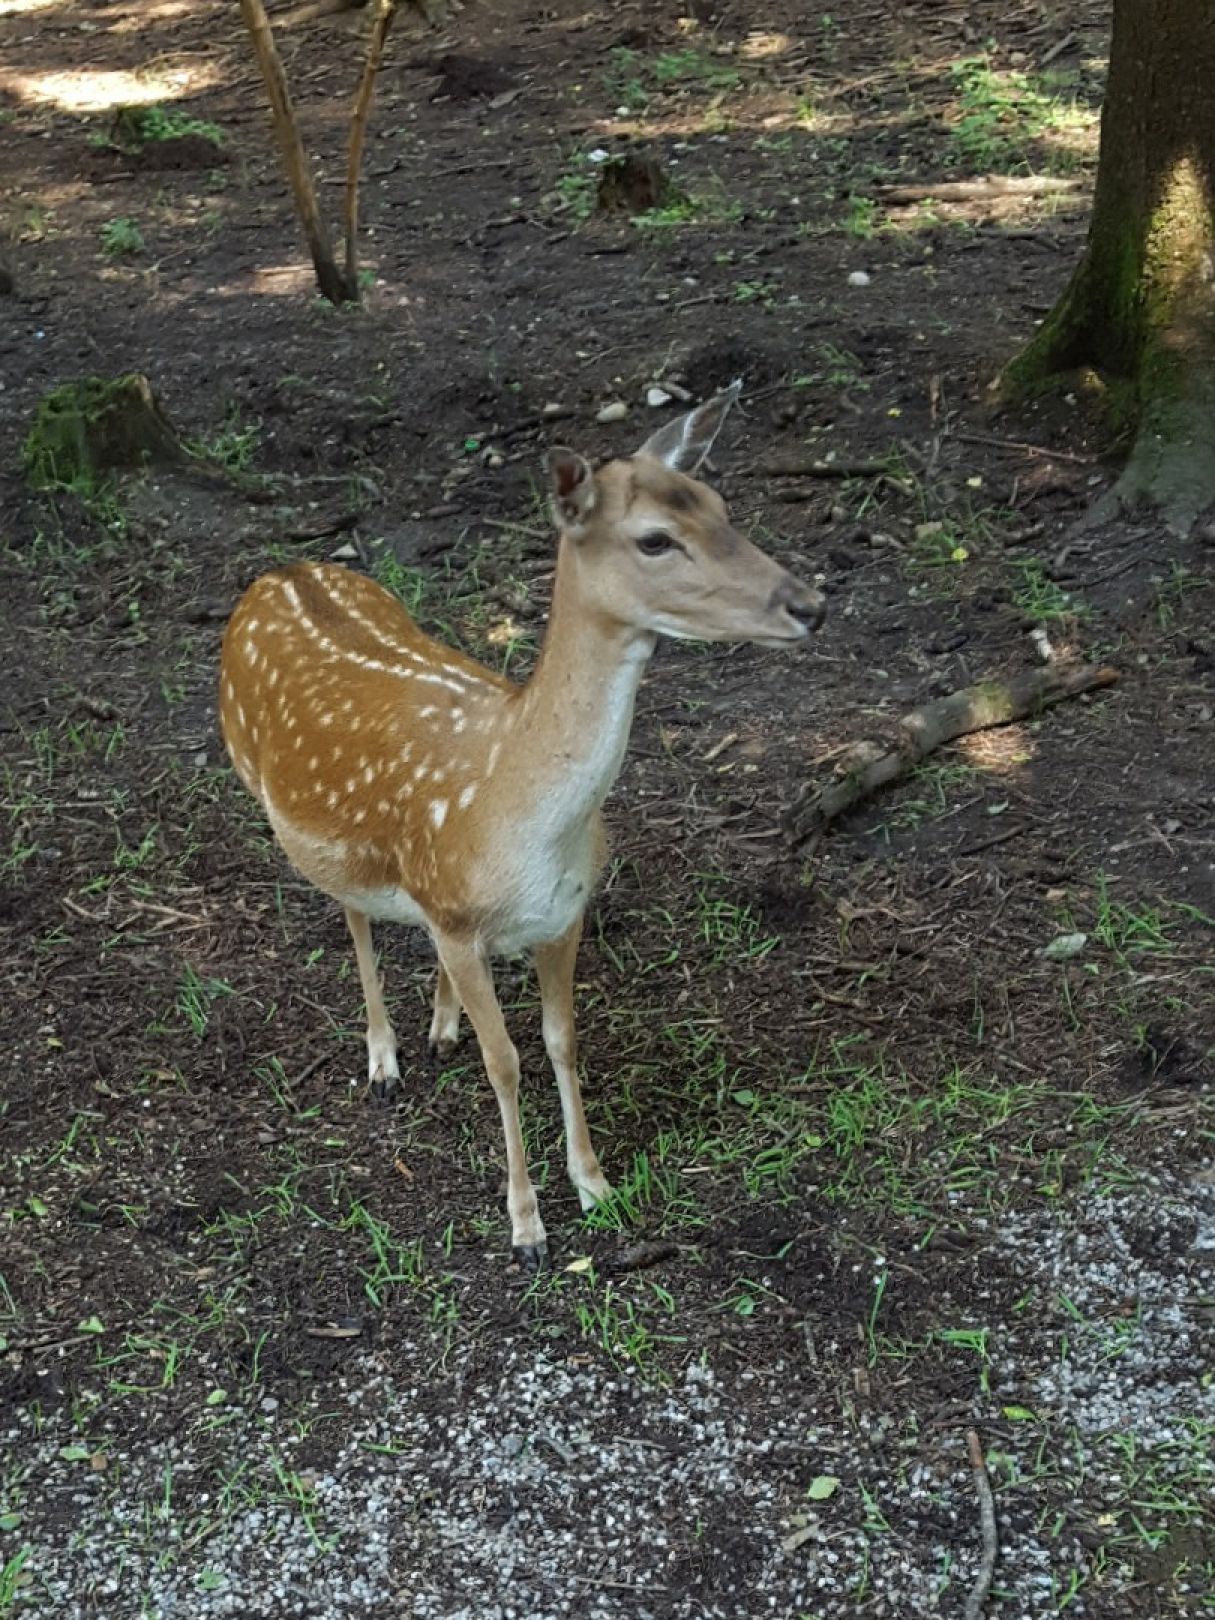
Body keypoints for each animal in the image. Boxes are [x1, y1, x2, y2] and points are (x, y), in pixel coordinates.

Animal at [218, 385, 829, 1270]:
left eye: (719, 505)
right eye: (654, 538)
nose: (809, 604)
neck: (513, 814)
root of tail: (280, 569)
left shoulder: (561, 914)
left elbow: (560, 1039)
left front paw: (596, 1186)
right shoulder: (459, 918)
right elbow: (503, 1060)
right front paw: (526, 1224)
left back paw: (436, 1026)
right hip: (271, 797)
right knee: (352, 913)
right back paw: (383, 1056)